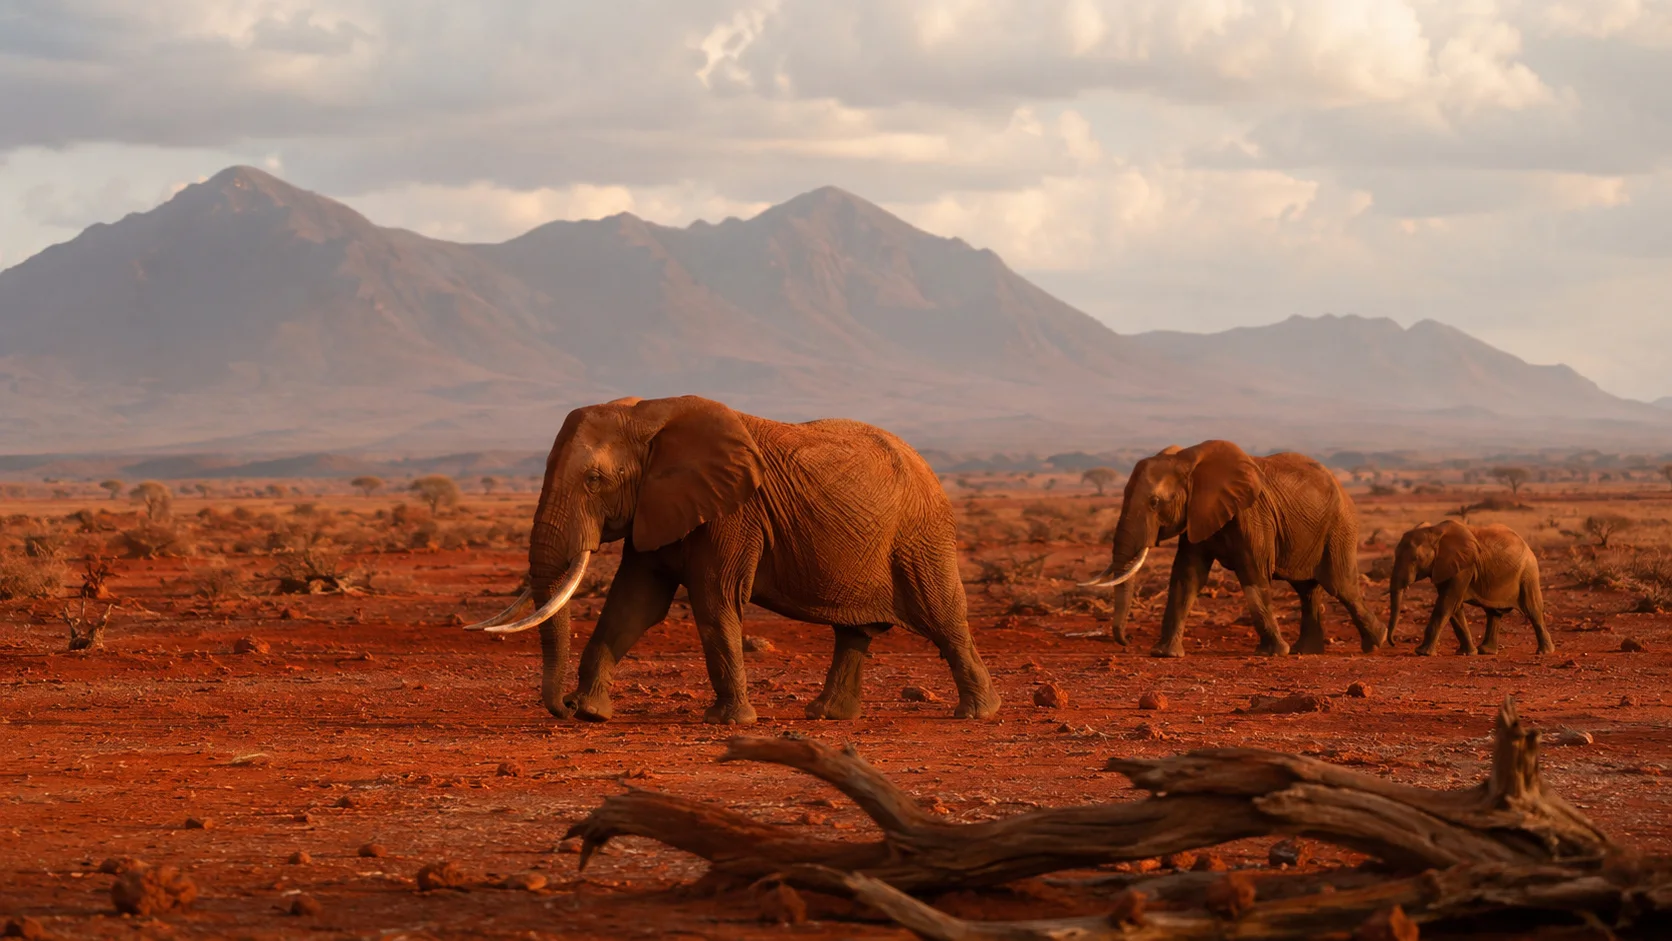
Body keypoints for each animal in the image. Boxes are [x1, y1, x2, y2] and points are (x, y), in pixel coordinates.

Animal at [462, 395, 1001, 724]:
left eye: (594, 480)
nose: (564, 708)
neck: (649, 415)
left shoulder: (733, 512)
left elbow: (713, 599)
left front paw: (727, 722)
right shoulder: (658, 505)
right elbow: (633, 605)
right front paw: (593, 712)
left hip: (920, 536)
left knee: (942, 617)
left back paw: (978, 713)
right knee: (854, 632)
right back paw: (825, 715)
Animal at [1084, 440, 1386, 658]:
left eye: (1155, 502)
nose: (1127, 640)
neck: (1187, 460)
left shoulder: (1252, 515)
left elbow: (1253, 574)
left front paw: (1273, 653)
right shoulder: (1197, 514)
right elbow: (1187, 576)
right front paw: (1164, 654)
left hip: (1339, 528)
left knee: (1341, 586)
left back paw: (1377, 641)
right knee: (1307, 590)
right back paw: (1308, 651)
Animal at [1387, 520, 1553, 656]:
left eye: (1416, 559)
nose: (1393, 643)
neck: (1435, 531)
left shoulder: (1463, 567)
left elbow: (1447, 603)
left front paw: (1422, 653)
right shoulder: (1445, 566)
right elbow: (1454, 606)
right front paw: (1467, 653)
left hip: (1528, 572)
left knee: (1533, 609)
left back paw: (1544, 652)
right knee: (1493, 613)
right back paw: (1486, 651)